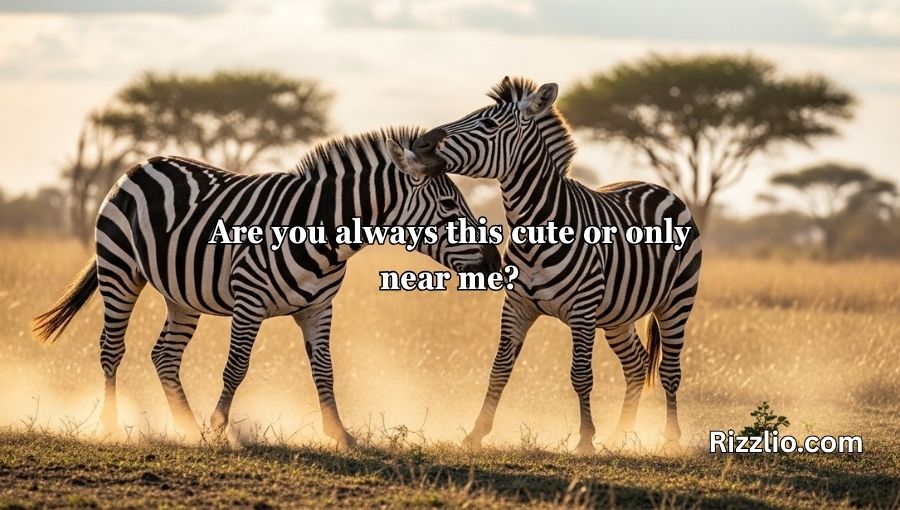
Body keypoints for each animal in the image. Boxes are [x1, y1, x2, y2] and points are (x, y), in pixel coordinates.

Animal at [32, 127, 500, 448]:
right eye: (448, 205)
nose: (496, 262)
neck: (322, 233)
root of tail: (141, 164)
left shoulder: (319, 308)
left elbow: (325, 370)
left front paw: (340, 433)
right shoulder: (249, 300)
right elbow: (237, 366)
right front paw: (219, 427)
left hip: (181, 295)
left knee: (164, 355)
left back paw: (185, 426)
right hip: (119, 270)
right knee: (112, 348)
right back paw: (112, 426)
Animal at [400, 77, 702, 454]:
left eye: (489, 124)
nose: (420, 144)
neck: (536, 230)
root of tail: (658, 187)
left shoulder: (583, 311)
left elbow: (580, 375)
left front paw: (585, 438)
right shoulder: (516, 306)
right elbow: (499, 369)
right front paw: (476, 432)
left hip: (677, 301)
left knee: (669, 370)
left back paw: (670, 439)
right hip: (619, 314)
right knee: (636, 364)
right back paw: (619, 435)